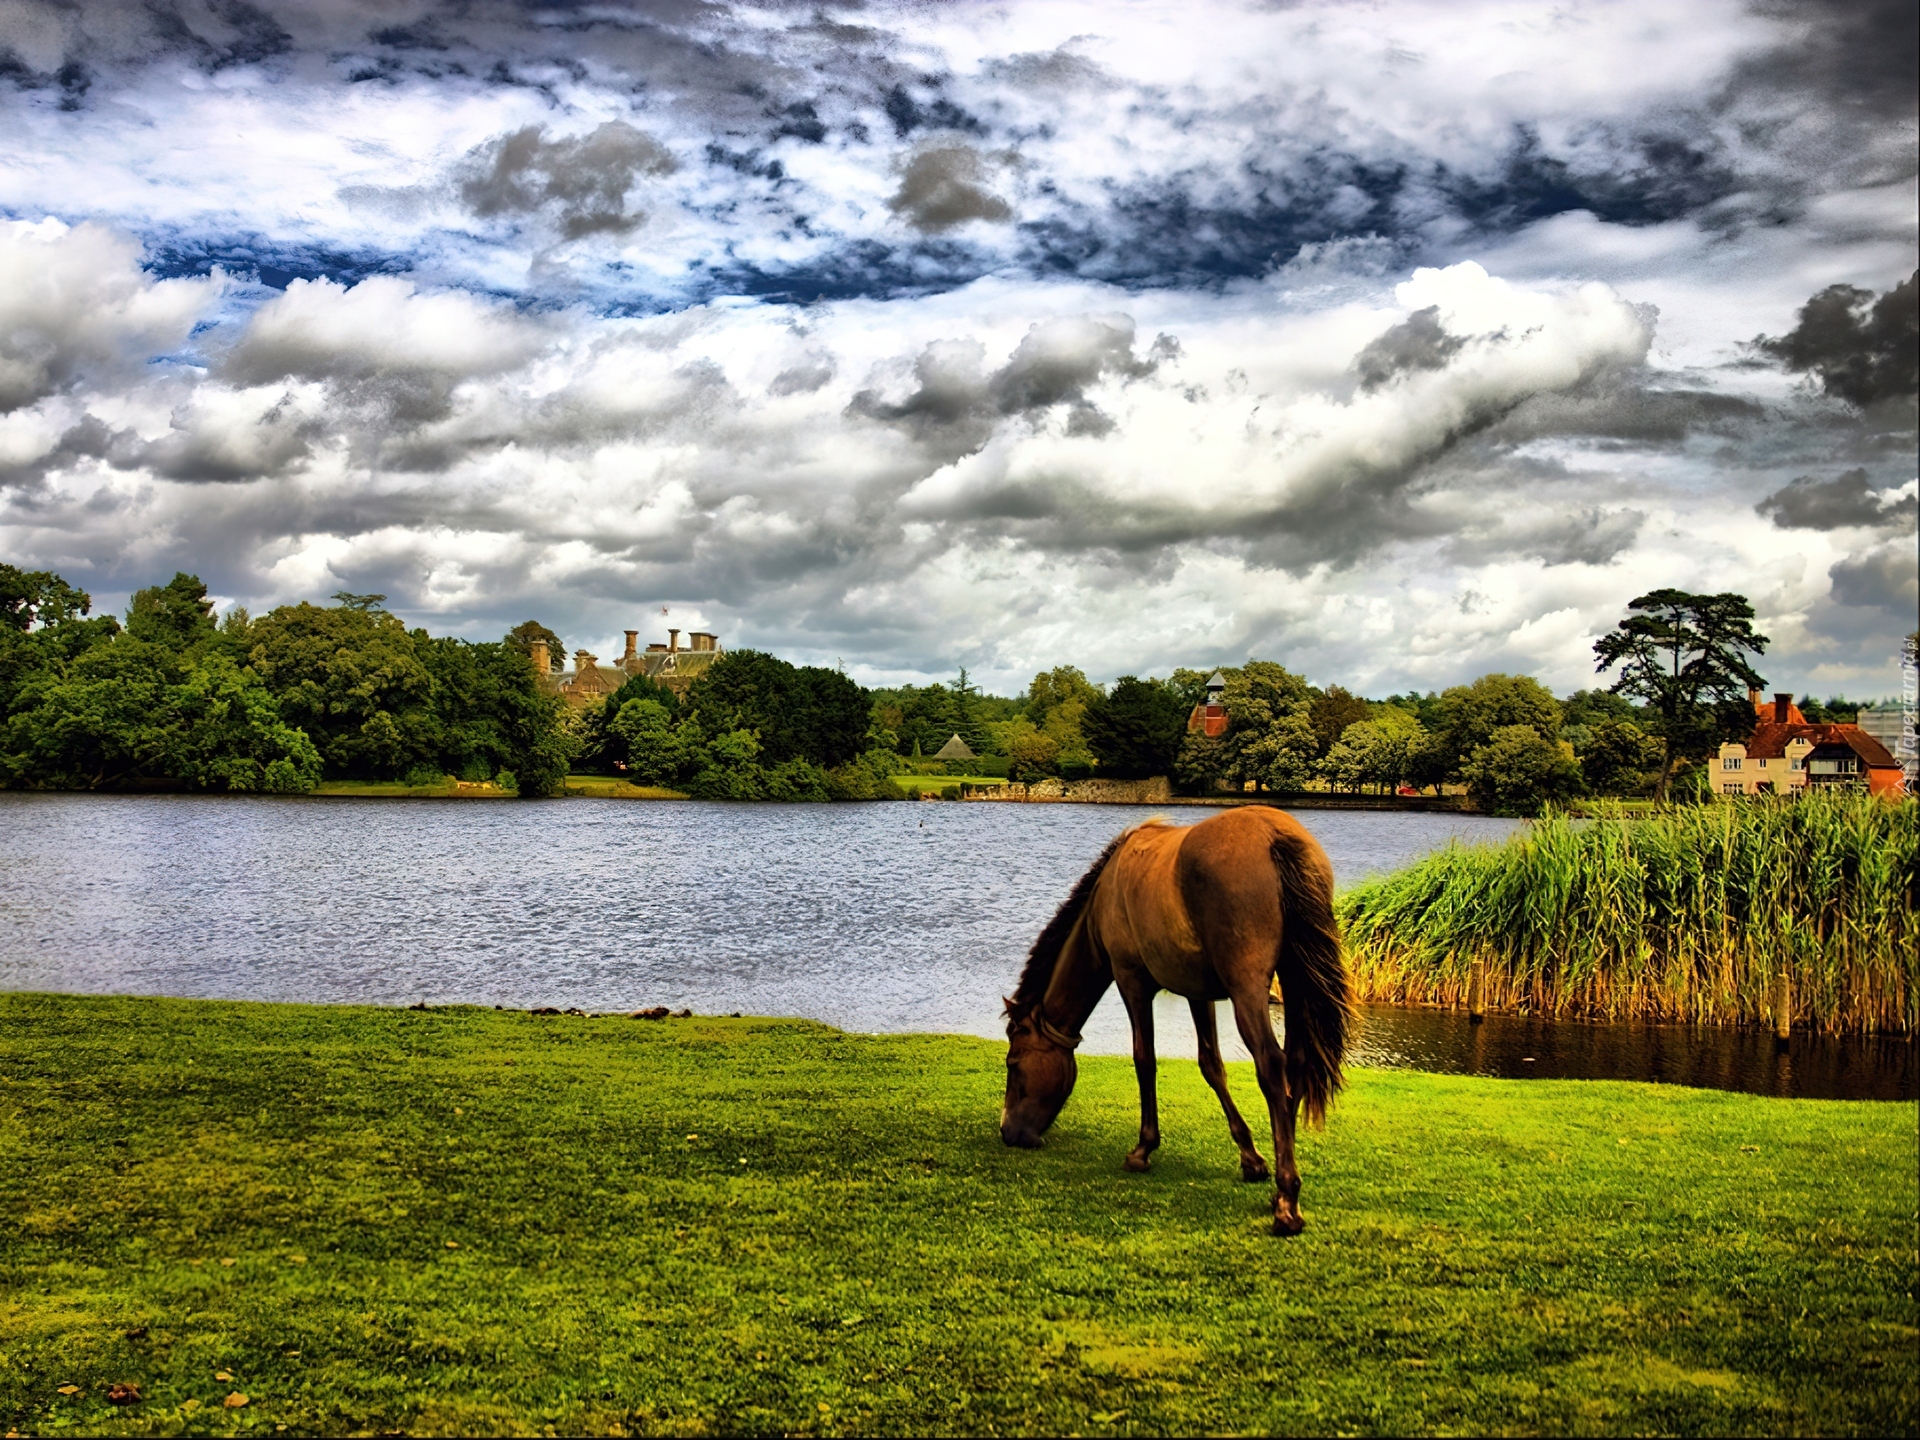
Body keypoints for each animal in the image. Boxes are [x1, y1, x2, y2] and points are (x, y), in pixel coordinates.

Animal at [1006, 806, 1351, 1236]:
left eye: (1013, 1064)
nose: (1008, 1132)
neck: (1108, 888)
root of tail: (1275, 836)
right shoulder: (1197, 994)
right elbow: (1211, 1065)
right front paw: (1251, 1157)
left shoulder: (1132, 982)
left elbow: (1145, 1061)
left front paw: (1143, 1148)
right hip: (1294, 979)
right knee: (1298, 1063)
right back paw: (1279, 1187)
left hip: (1248, 989)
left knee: (1272, 1064)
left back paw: (1287, 1201)